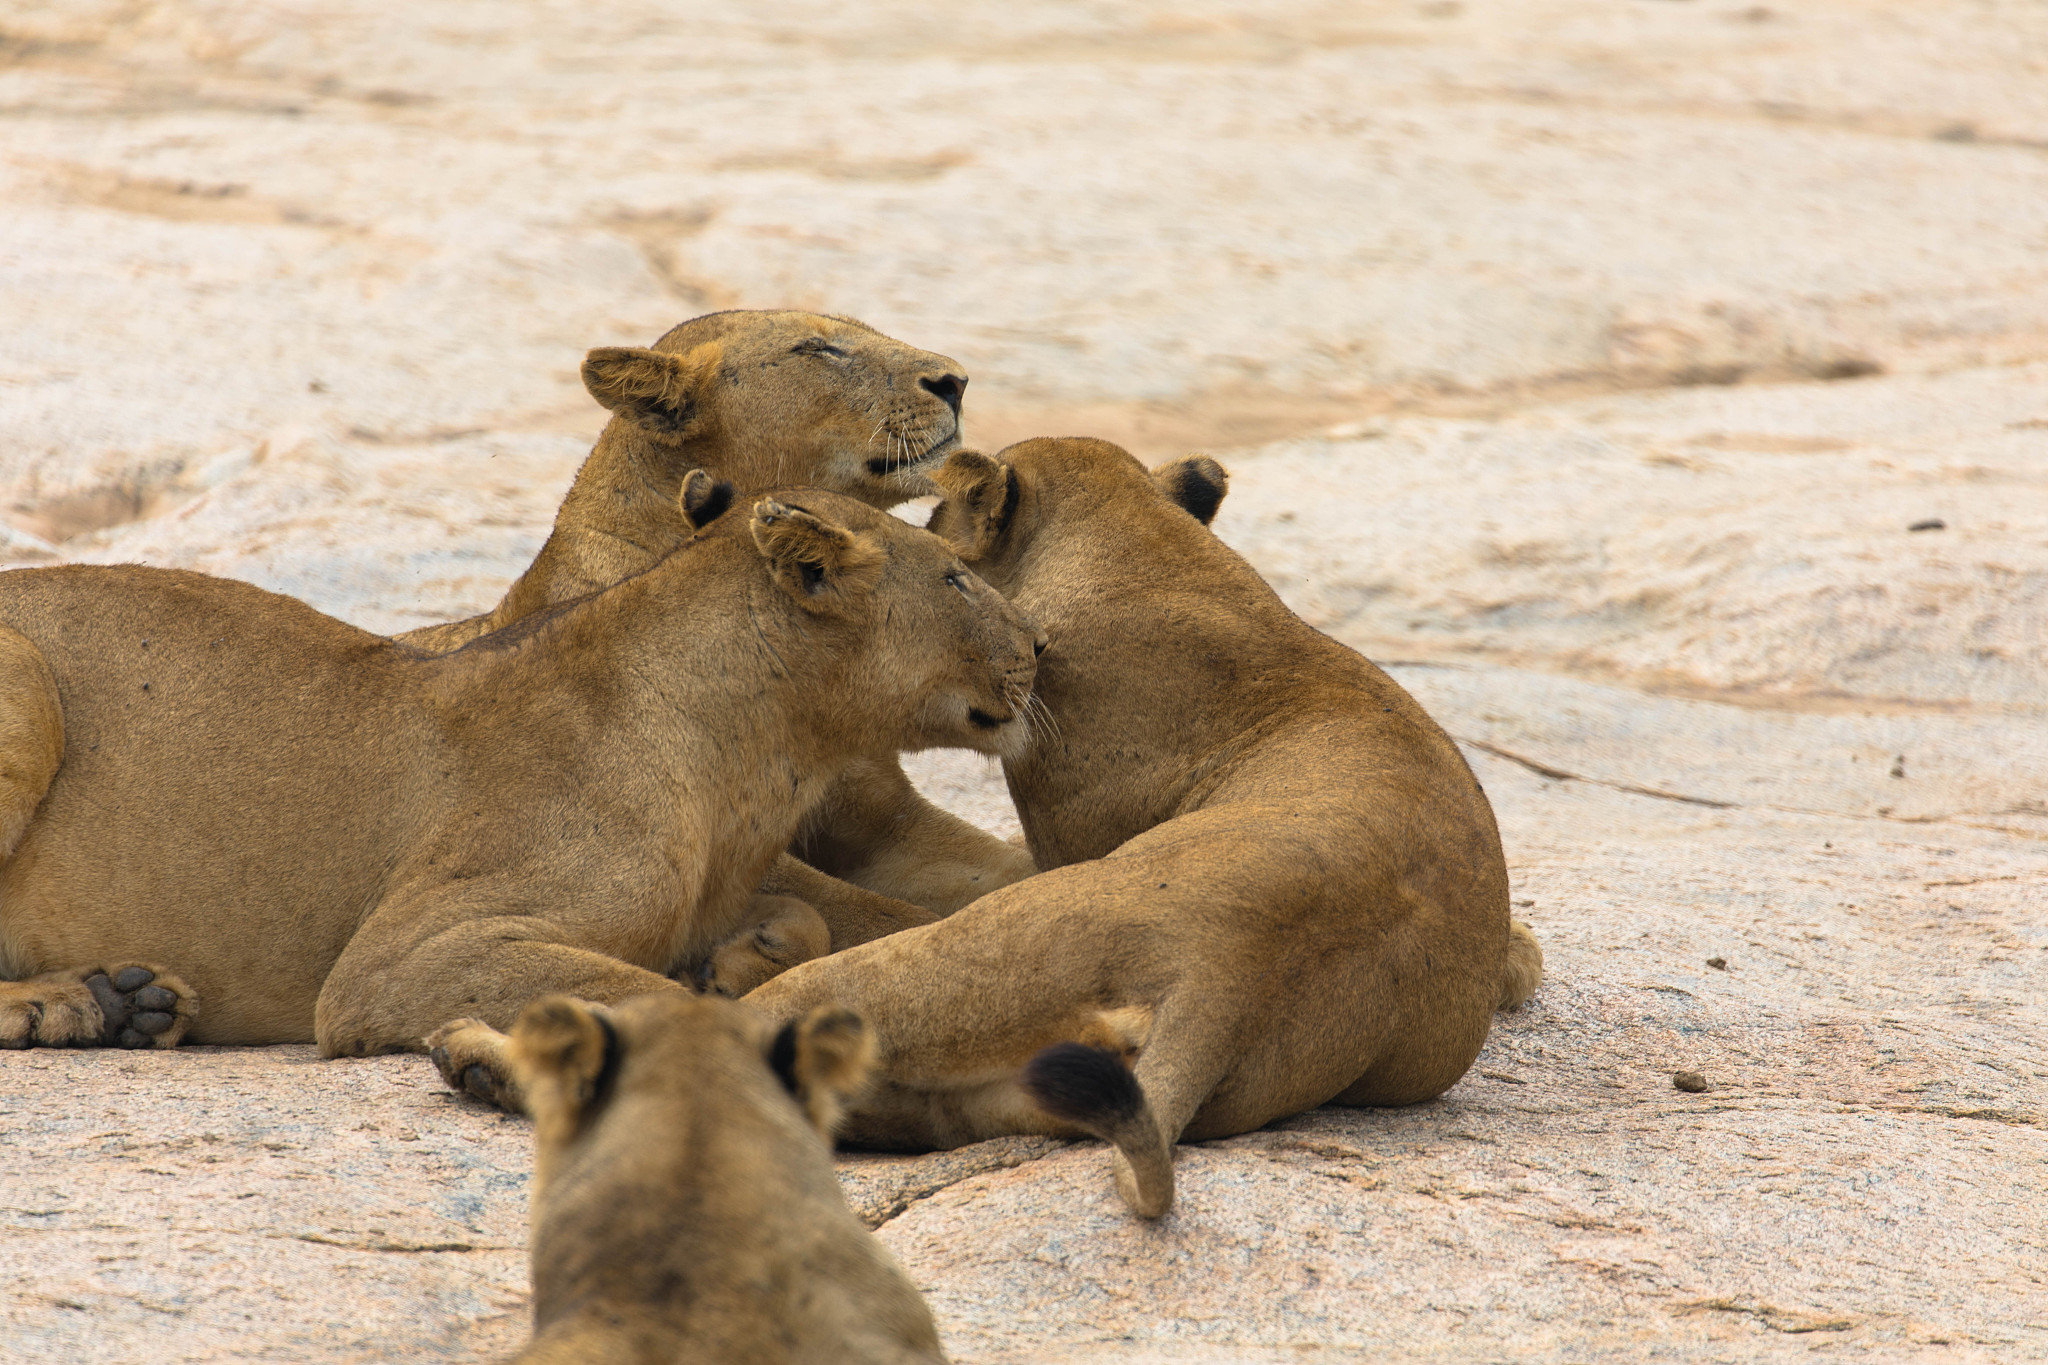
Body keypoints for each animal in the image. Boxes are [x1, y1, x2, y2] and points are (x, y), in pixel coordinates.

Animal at [0, 480, 1041, 1070]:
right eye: (956, 577)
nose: (1040, 644)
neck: (760, 757)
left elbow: (803, 917)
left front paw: (740, 956)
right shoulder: (407, 956)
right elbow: (645, 994)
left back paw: (126, 1001)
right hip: (26, 681)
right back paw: (74, 1005)